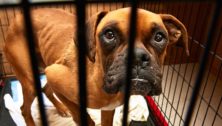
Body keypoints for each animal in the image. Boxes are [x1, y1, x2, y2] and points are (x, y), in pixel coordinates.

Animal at [3, 7, 188, 126]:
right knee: (25, 108)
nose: (136, 57)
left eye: (159, 37)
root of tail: (18, 17)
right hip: (32, 80)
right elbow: (85, 118)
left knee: (46, 89)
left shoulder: (108, 111)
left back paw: (62, 109)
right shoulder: (55, 74)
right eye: (109, 34)